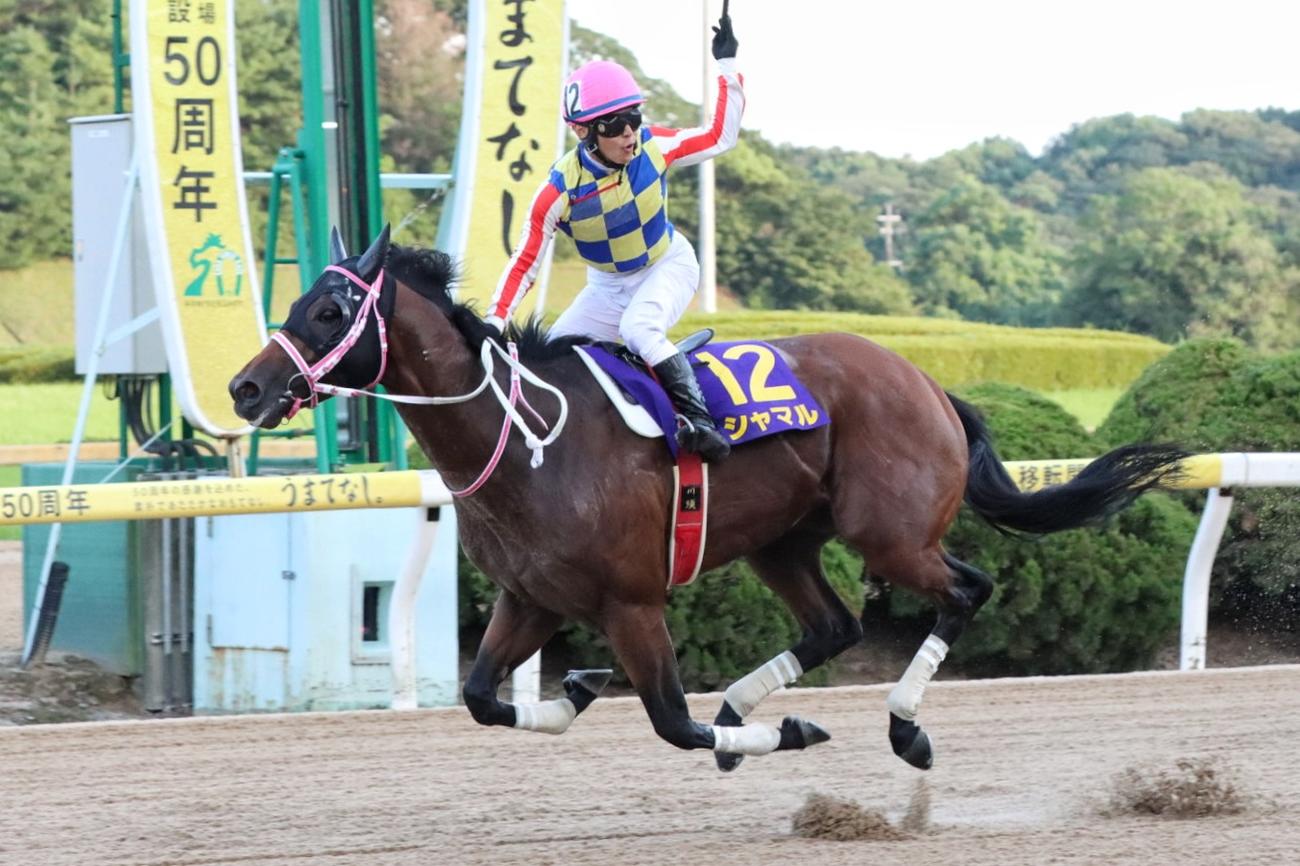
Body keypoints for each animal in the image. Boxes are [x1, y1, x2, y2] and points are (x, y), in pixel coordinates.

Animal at [229, 226, 1186, 771]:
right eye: (301, 299)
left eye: (329, 312)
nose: (245, 387)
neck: (530, 441)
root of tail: (925, 380)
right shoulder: (531, 598)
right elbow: (479, 696)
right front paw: (579, 686)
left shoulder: (633, 602)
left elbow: (672, 725)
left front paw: (788, 734)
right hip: (783, 540)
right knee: (835, 625)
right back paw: (746, 704)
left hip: (892, 534)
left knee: (966, 589)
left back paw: (903, 729)